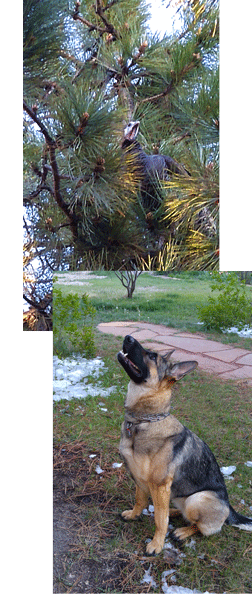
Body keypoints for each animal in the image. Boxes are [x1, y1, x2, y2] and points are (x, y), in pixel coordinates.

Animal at [117, 334, 252, 556]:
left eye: (152, 356)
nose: (128, 337)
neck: (144, 420)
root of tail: (230, 510)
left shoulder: (159, 484)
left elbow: (160, 520)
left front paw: (157, 544)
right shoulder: (139, 479)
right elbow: (140, 500)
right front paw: (135, 514)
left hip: (196, 499)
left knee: (202, 527)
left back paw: (182, 531)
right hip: (178, 497)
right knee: (174, 511)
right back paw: (173, 511)